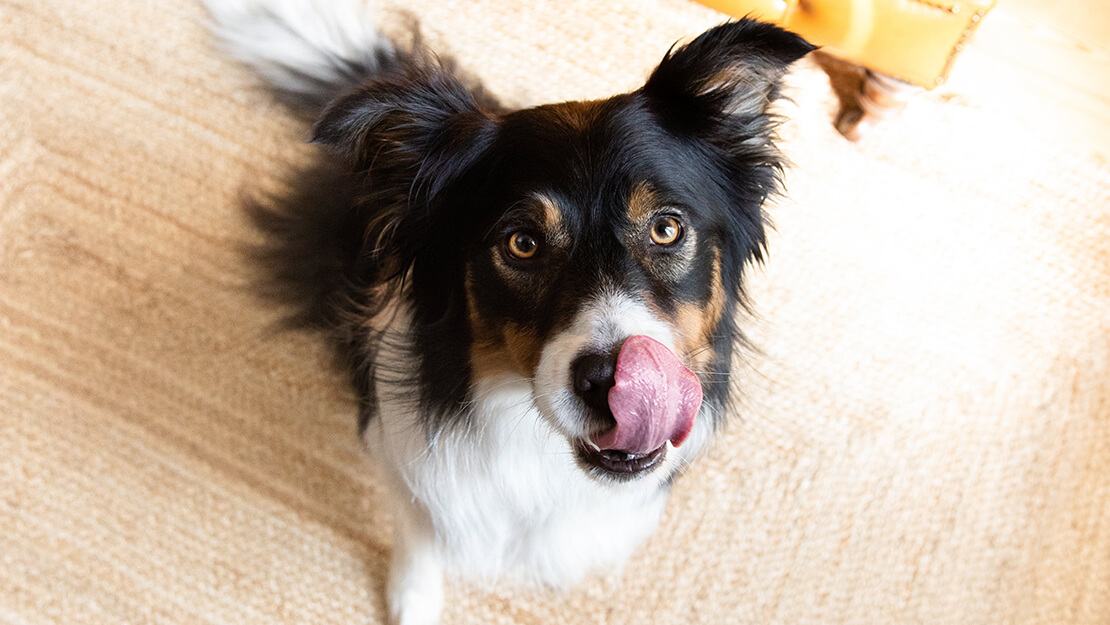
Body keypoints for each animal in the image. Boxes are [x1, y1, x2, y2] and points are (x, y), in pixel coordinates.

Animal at [208, 2, 812, 621]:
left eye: (666, 228)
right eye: (522, 243)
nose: (612, 384)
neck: (539, 445)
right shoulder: (406, 456)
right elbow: (419, 529)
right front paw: (412, 601)